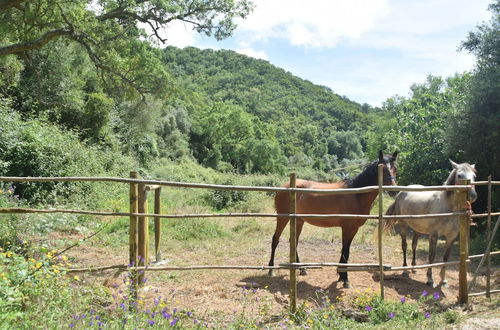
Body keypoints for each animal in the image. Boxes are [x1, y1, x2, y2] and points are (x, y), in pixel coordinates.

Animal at [268, 151, 396, 288]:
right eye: (382, 168)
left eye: (395, 168)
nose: (393, 190)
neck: (356, 194)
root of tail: (284, 186)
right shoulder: (347, 228)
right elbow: (346, 251)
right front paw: (345, 279)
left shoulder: (353, 229)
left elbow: (344, 250)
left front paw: (341, 276)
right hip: (283, 217)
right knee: (275, 239)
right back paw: (271, 270)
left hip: (298, 221)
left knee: (294, 241)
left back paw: (301, 269)